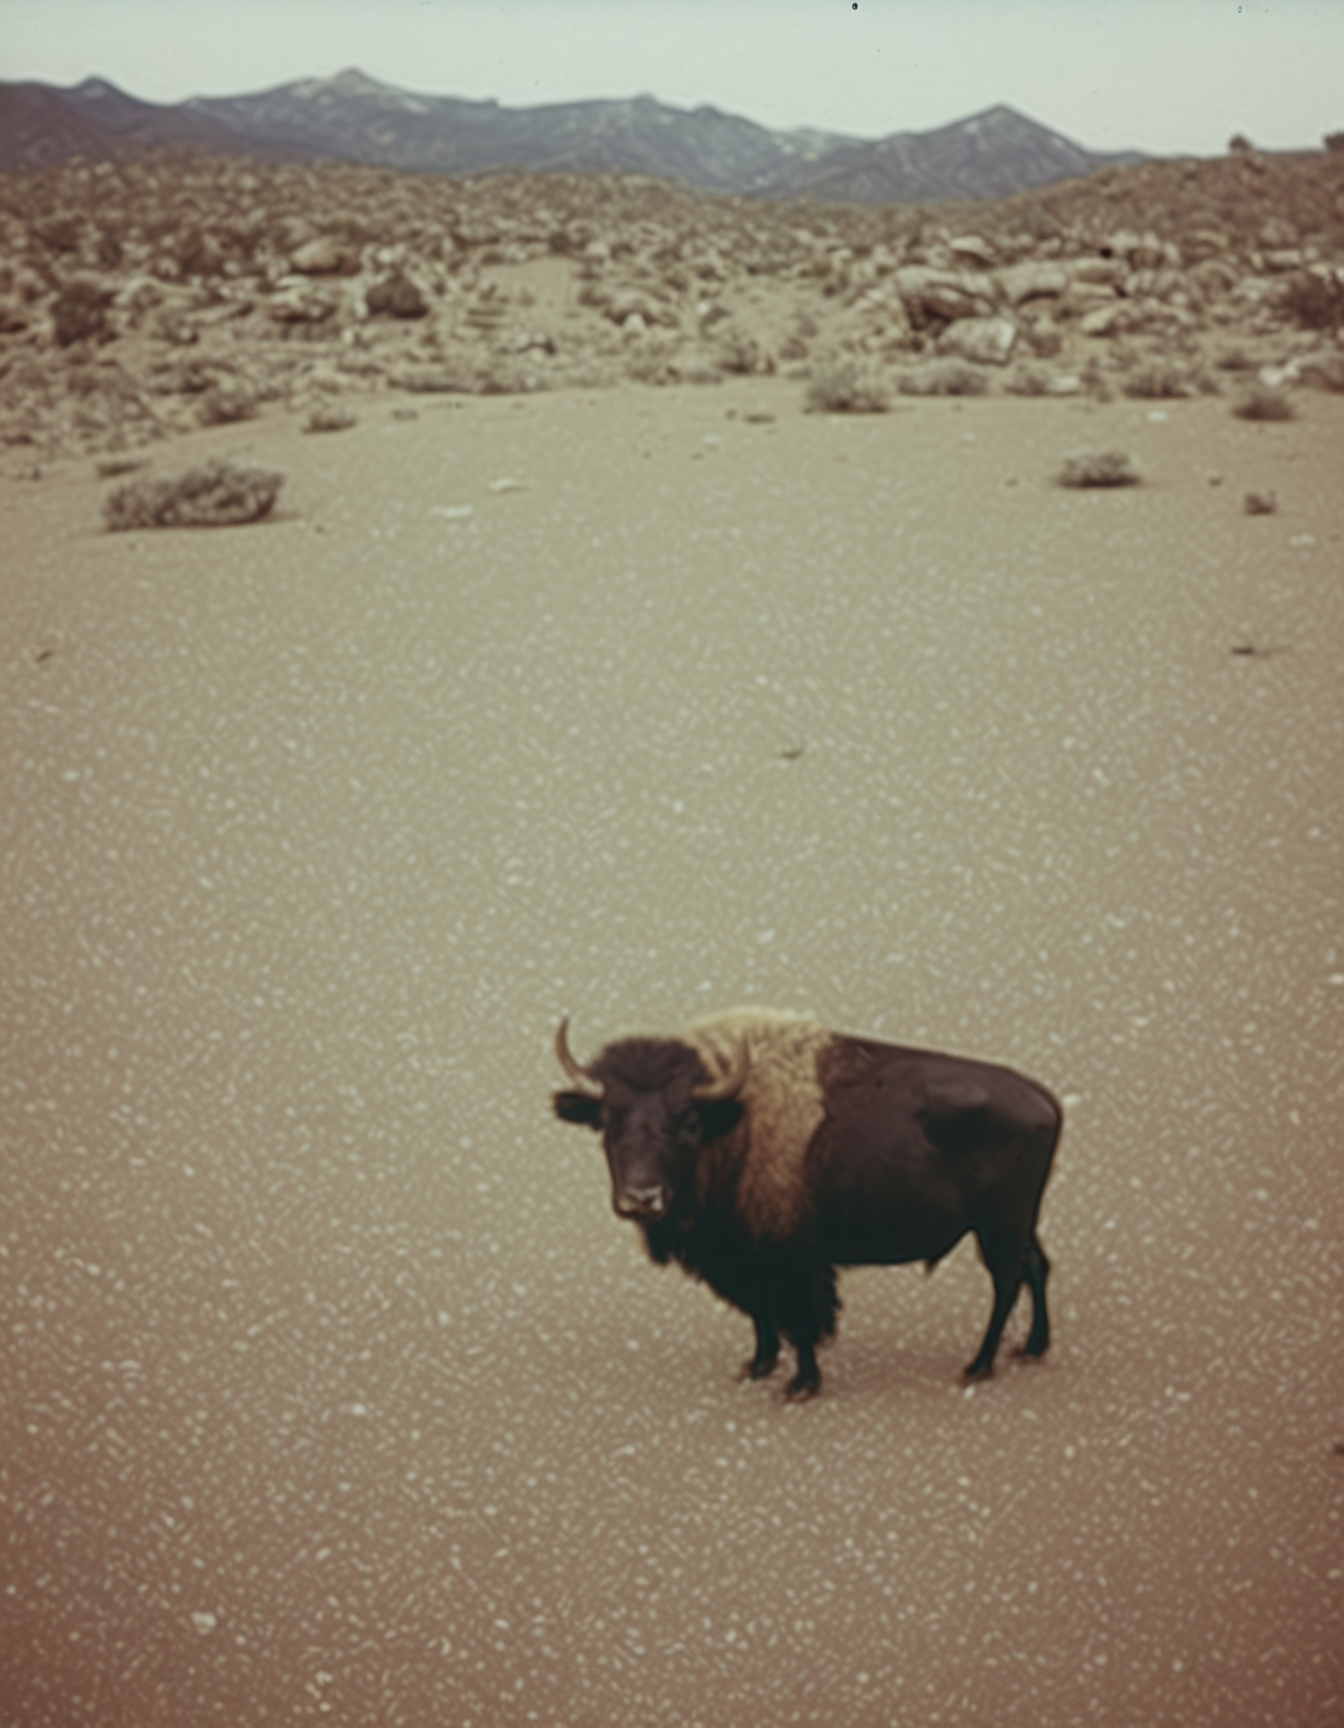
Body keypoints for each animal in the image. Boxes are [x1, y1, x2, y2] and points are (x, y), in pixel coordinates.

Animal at [553, 1007, 1061, 1399]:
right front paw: (757, 1366)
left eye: (689, 1122)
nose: (642, 1198)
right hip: (1018, 1226)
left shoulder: (792, 1259)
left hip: (998, 1228)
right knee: (1035, 1267)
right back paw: (1031, 1348)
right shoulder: (747, 1257)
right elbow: (761, 1315)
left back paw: (978, 1366)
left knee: (1007, 1283)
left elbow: (799, 1320)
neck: (733, 1123)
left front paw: (801, 1386)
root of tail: (1046, 1101)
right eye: (608, 1122)